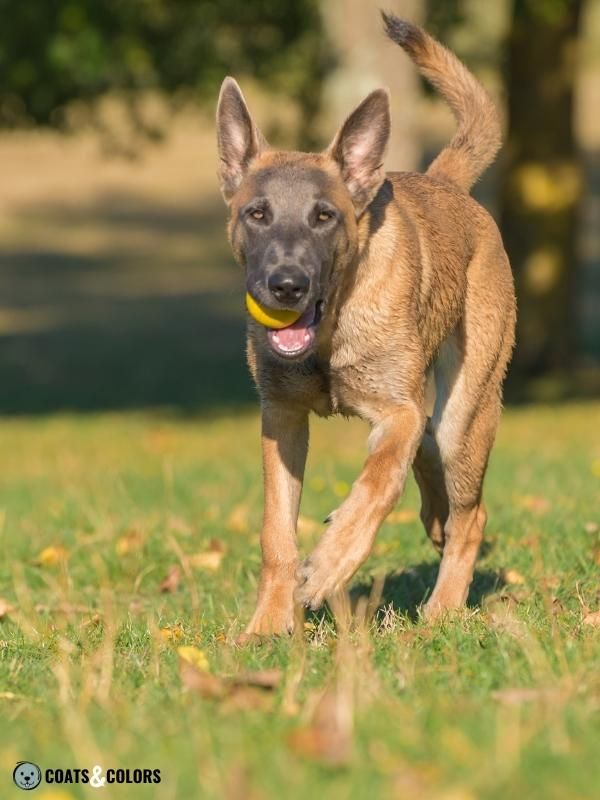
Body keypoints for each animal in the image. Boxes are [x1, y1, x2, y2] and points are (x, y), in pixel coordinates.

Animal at [216, 14, 516, 636]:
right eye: (257, 214)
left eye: (323, 216)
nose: (286, 286)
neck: (330, 333)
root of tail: (447, 184)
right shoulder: (281, 418)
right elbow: (275, 531)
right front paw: (267, 625)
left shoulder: (394, 412)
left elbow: (377, 482)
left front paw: (330, 564)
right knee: (432, 461)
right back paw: (435, 522)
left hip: (468, 409)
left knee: (467, 510)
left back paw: (442, 610)